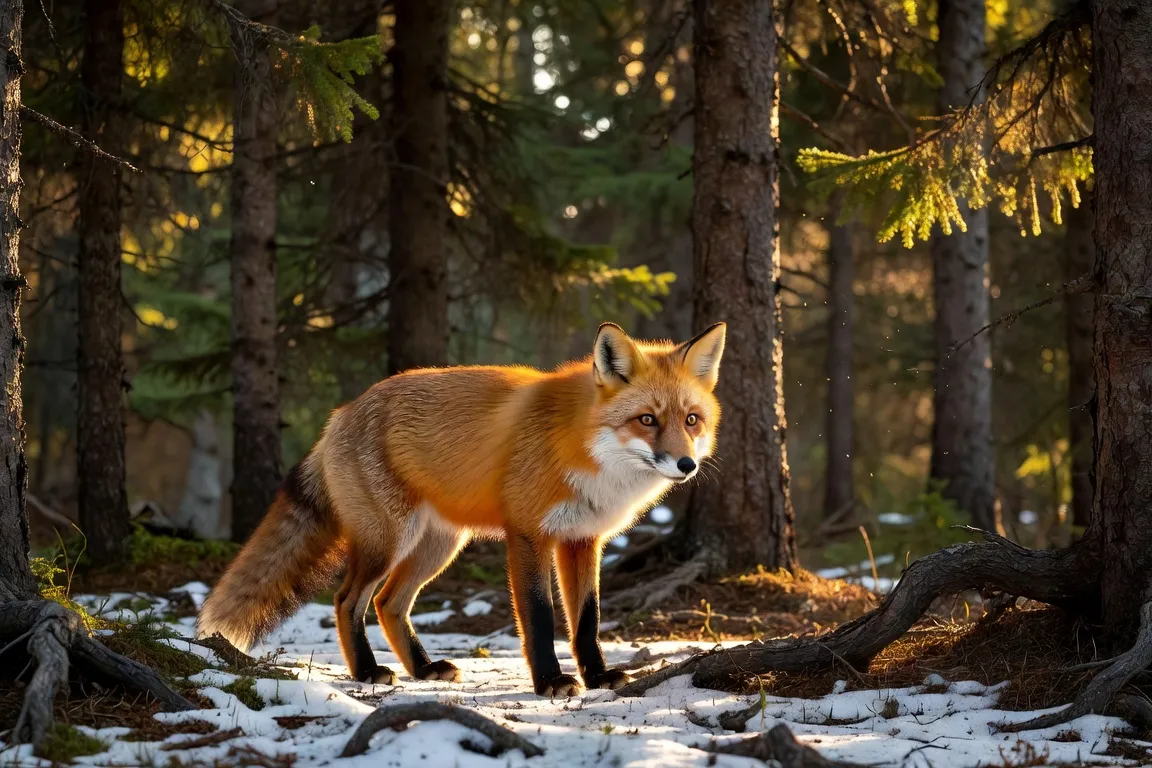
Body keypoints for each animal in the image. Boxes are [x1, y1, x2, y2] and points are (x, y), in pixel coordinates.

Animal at [198, 321, 726, 696]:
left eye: (691, 420)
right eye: (647, 420)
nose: (686, 464)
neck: (582, 447)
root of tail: (341, 413)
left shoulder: (582, 540)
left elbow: (587, 622)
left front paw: (597, 678)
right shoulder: (528, 534)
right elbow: (539, 617)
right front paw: (551, 683)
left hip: (439, 546)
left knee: (389, 603)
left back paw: (423, 668)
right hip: (389, 541)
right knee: (348, 600)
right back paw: (368, 671)